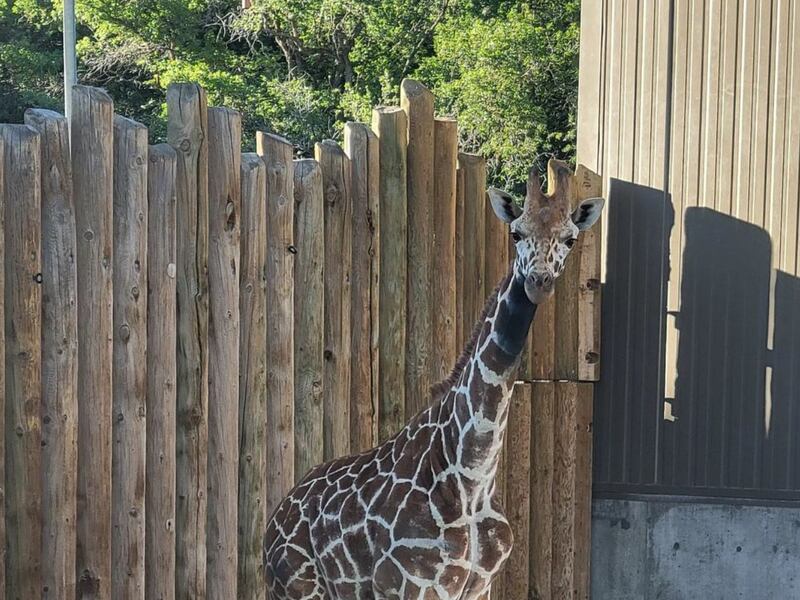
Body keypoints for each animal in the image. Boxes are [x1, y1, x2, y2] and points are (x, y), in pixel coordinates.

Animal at [263, 158, 604, 599]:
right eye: (516, 232)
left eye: (570, 239)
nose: (538, 281)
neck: (472, 478)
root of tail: (271, 525)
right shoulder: (415, 586)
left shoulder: (479, 587)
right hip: (298, 589)